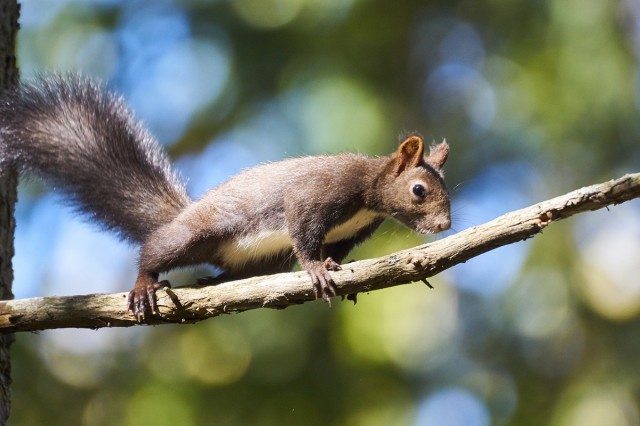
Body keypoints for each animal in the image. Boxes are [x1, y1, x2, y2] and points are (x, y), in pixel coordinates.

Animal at [0, 75, 451, 321]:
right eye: (419, 190)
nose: (445, 224)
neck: (368, 196)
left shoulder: (353, 230)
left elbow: (336, 249)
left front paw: (335, 267)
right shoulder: (319, 194)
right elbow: (303, 228)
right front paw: (315, 268)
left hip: (259, 259)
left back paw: (219, 282)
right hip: (197, 234)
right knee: (156, 249)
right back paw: (145, 283)